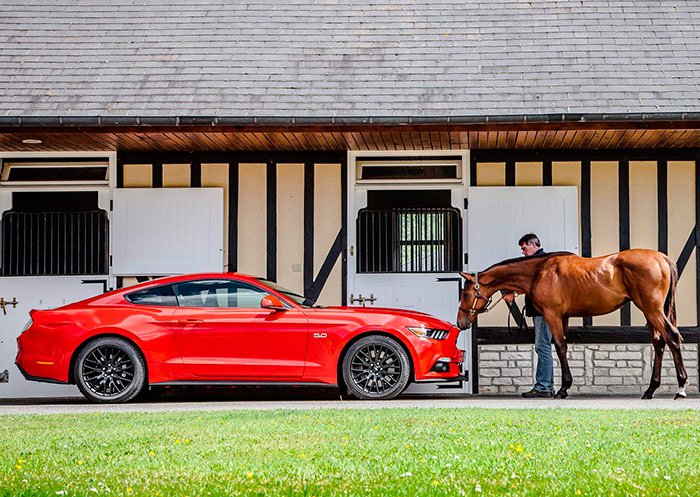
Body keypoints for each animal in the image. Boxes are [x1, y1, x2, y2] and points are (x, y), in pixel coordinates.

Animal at [454, 248, 688, 400]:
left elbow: (559, 346)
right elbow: (561, 347)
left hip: (652, 309)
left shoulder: (553, 315)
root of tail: (661, 258)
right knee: (659, 342)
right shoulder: (563, 317)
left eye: (465, 294)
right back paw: (650, 390)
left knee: (672, 337)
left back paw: (681, 388)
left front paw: (563, 389)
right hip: (650, 312)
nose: (461, 322)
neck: (539, 271)